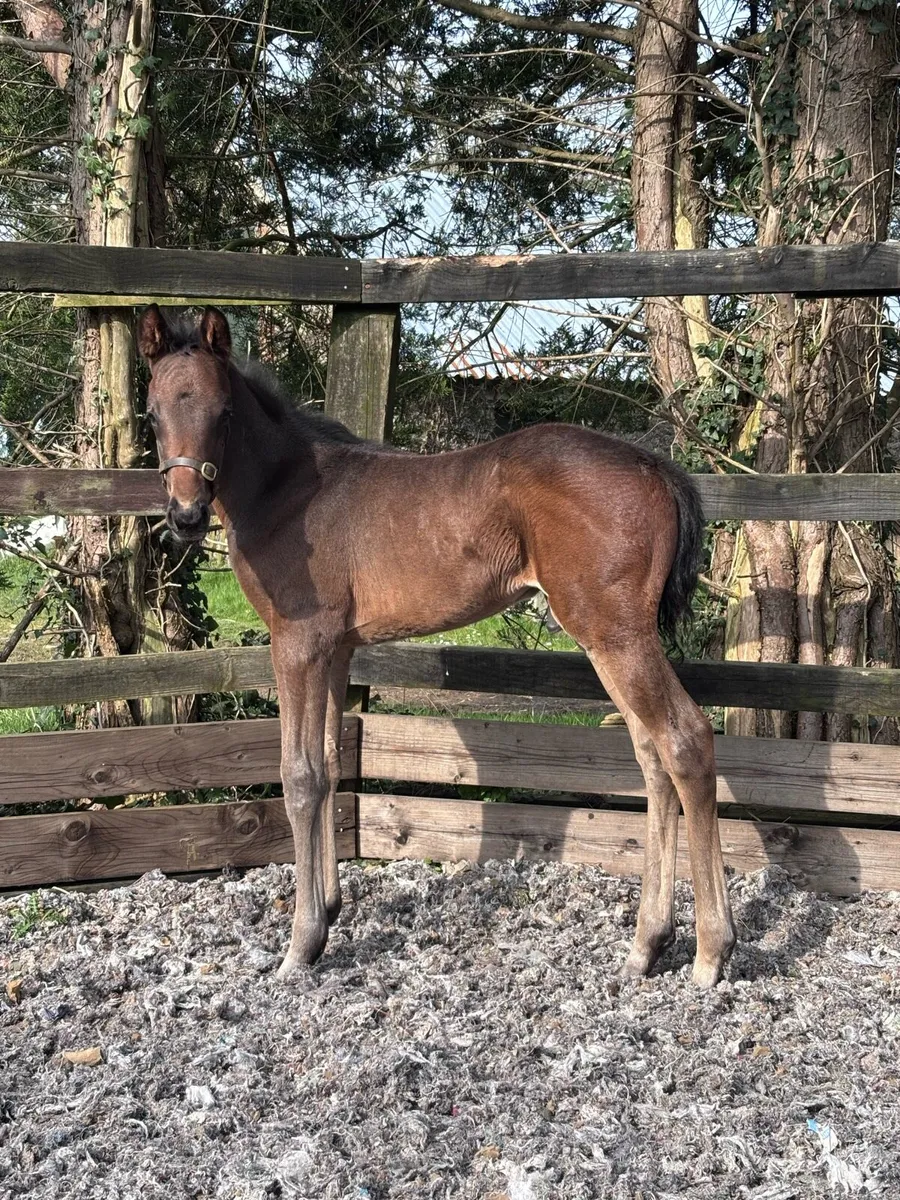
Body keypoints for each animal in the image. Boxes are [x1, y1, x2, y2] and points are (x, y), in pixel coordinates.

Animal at [137, 304, 736, 989]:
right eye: (152, 413)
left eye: (223, 413)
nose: (185, 515)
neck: (289, 491)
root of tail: (654, 466)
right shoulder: (337, 649)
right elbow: (331, 765)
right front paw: (330, 910)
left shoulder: (298, 642)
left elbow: (299, 775)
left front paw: (302, 943)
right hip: (613, 637)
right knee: (651, 756)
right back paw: (646, 944)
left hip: (613, 631)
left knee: (685, 740)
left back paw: (710, 951)